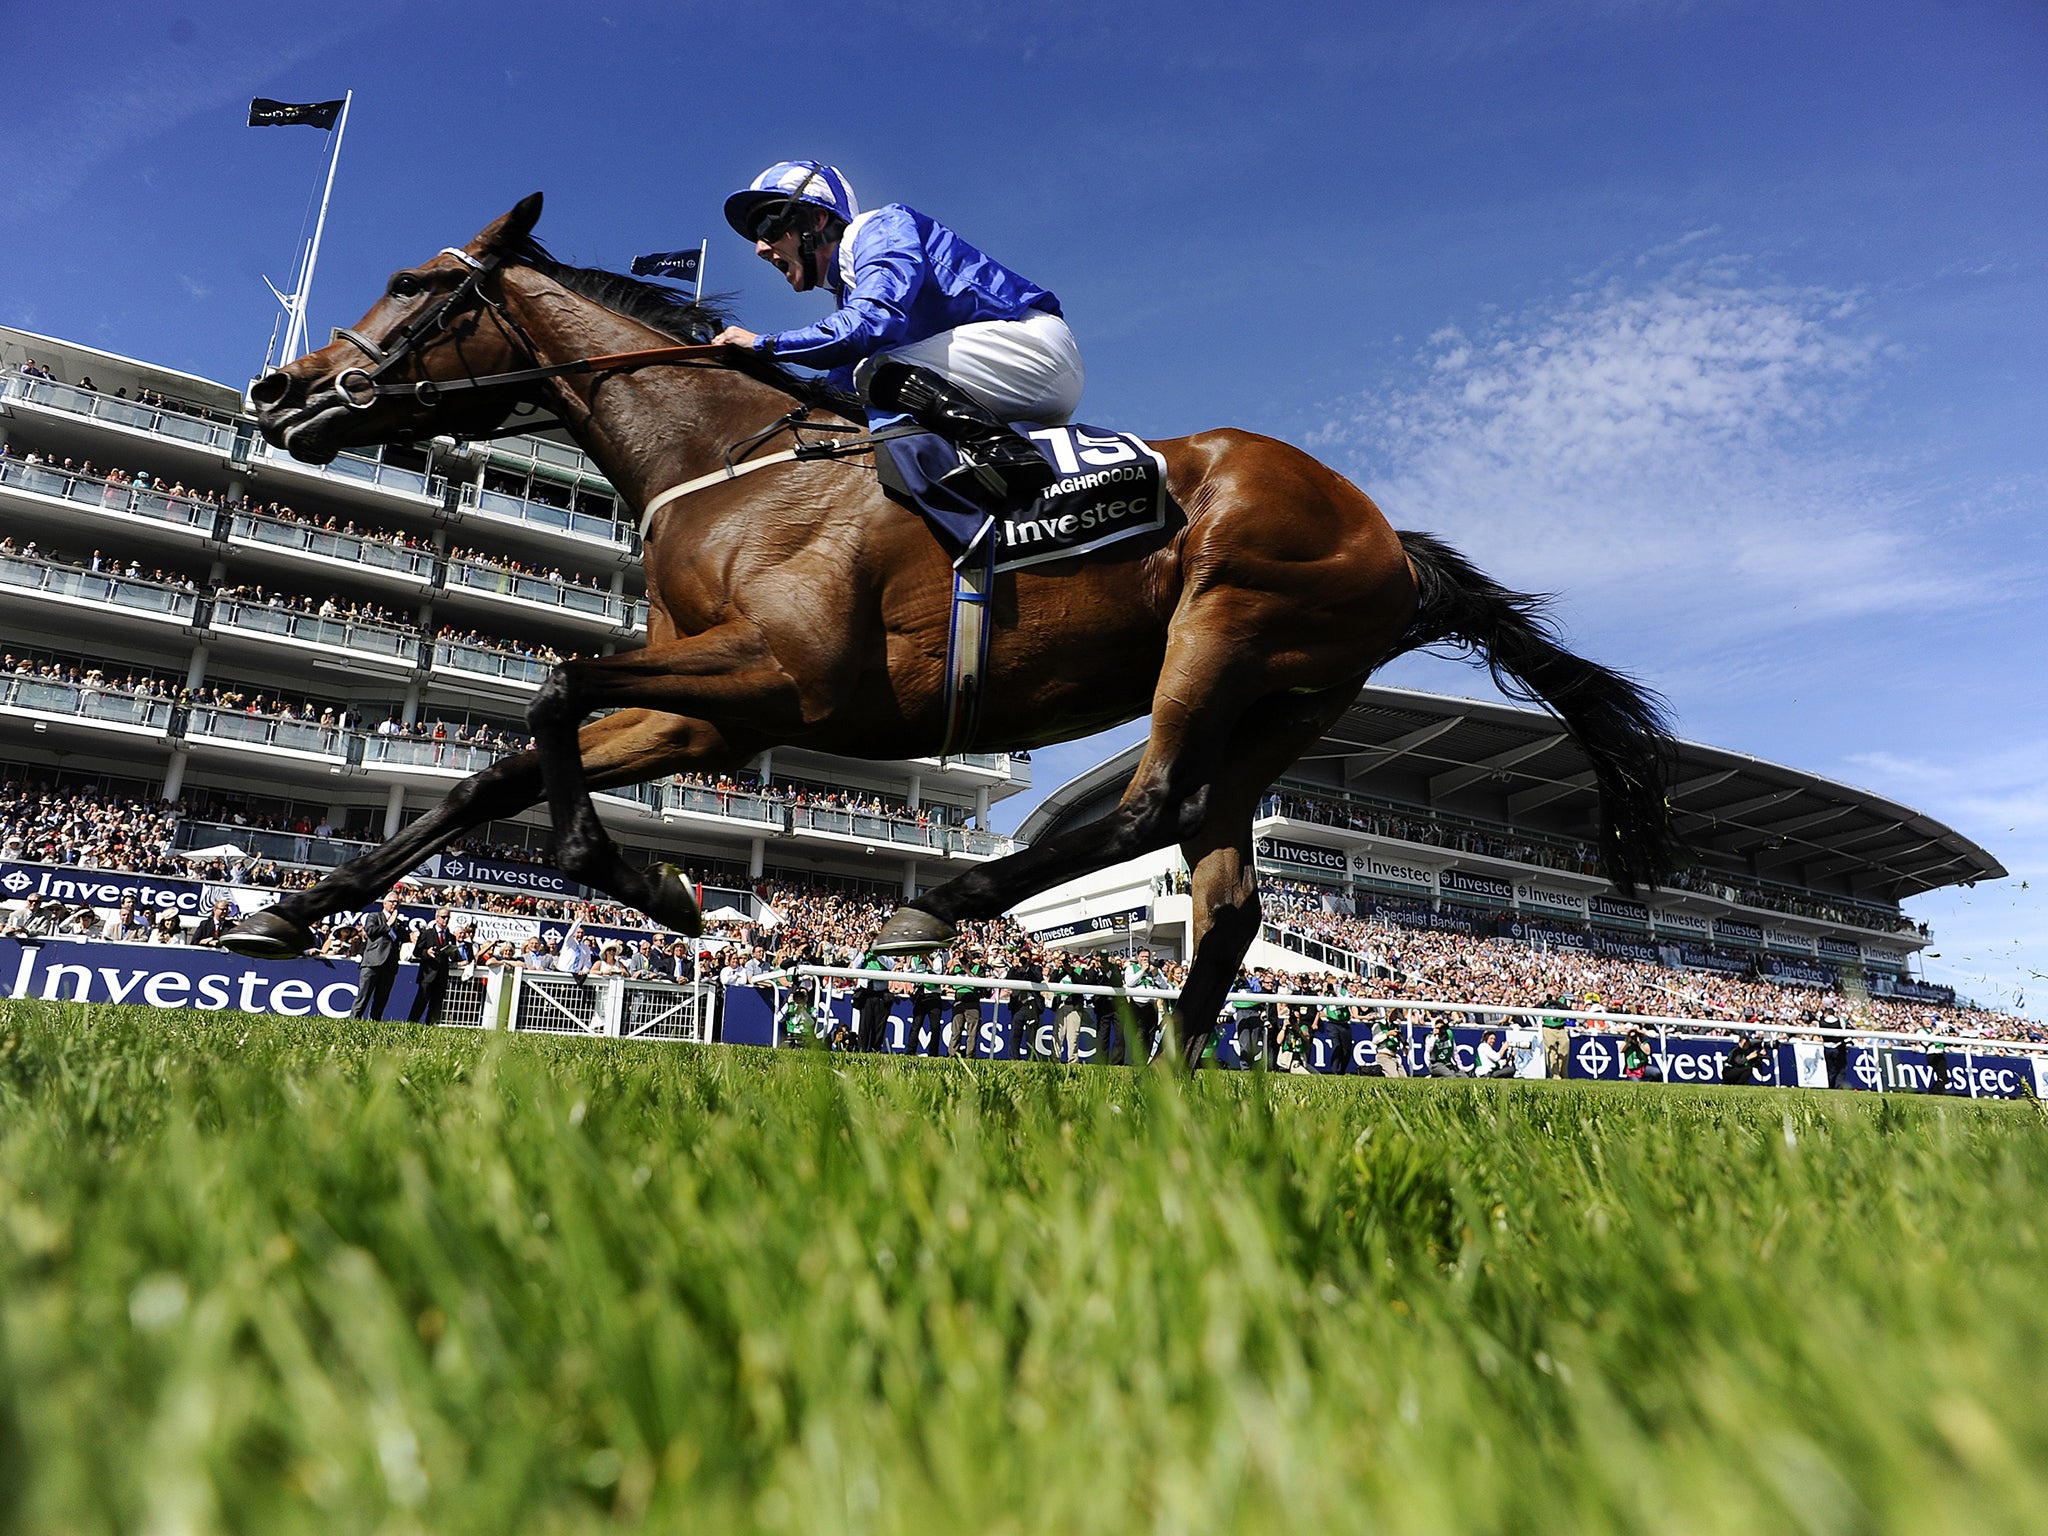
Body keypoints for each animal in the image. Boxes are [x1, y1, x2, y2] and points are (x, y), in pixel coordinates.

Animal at [228, 192, 1679, 1064]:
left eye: (411, 281)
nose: (280, 390)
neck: (731, 462)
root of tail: (1391, 541)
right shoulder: (713, 709)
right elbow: (506, 761)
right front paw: (294, 910)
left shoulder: (786, 675)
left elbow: (551, 692)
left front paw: (656, 883)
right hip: (1280, 703)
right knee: (1226, 894)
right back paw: (1162, 1079)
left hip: (1227, 622)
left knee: (1151, 804)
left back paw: (948, 906)